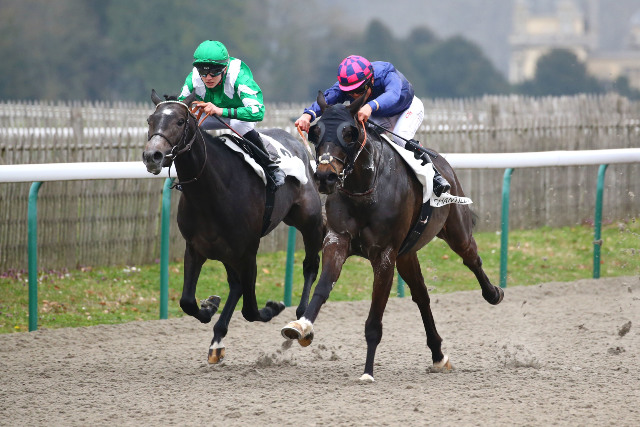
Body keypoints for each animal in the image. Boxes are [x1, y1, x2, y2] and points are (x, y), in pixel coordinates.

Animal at [145, 90, 324, 364]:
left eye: (179, 121)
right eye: (150, 121)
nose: (152, 156)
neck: (212, 192)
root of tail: (300, 147)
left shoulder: (249, 251)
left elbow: (251, 310)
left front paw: (274, 307)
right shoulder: (196, 248)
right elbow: (187, 301)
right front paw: (209, 306)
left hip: (309, 221)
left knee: (310, 265)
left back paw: (302, 317)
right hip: (227, 250)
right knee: (236, 284)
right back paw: (217, 338)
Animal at [282, 92, 502, 382]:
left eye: (349, 133)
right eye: (315, 132)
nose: (325, 177)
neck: (363, 190)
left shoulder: (385, 255)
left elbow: (375, 318)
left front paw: (367, 372)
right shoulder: (338, 241)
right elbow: (322, 287)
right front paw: (300, 326)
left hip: (456, 231)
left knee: (472, 259)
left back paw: (493, 293)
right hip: (407, 254)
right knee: (422, 297)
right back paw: (438, 355)